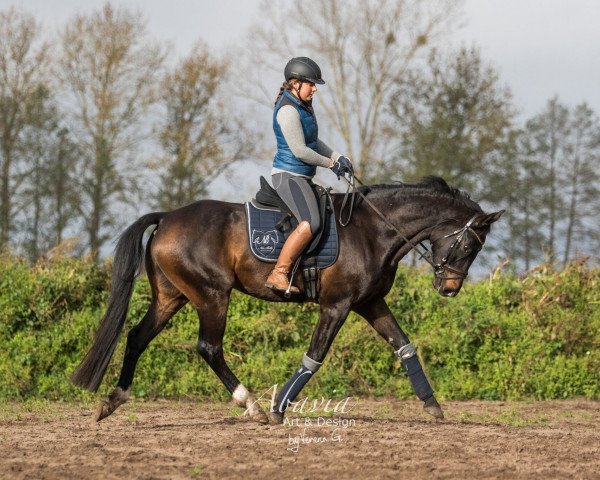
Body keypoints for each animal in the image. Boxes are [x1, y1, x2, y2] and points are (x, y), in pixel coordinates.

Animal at [71, 177, 502, 424]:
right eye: (470, 245)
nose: (449, 288)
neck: (374, 230)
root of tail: (168, 217)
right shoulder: (337, 306)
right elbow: (314, 356)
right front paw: (280, 409)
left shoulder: (370, 303)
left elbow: (405, 346)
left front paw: (433, 406)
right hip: (212, 296)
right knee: (209, 348)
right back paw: (253, 406)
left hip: (171, 297)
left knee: (137, 338)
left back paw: (113, 401)